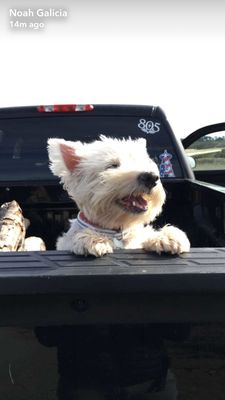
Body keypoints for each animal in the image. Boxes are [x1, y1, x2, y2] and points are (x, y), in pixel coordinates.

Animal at [48, 136, 190, 256]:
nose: (151, 177)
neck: (117, 230)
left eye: (143, 162)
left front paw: (166, 237)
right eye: (112, 165)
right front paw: (93, 239)